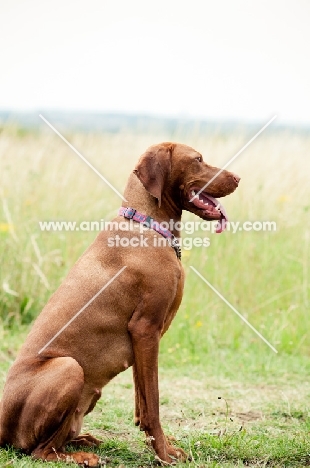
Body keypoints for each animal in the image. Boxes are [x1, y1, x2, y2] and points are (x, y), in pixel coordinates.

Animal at [0, 142, 240, 464]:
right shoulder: (146, 329)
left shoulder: (143, 339)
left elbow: (142, 399)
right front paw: (163, 453)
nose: (238, 178)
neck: (147, 226)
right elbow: (154, 402)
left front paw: (160, 443)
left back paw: (83, 440)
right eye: (198, 159)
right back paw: (81, 456)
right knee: (39, 452)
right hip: (69, 367)